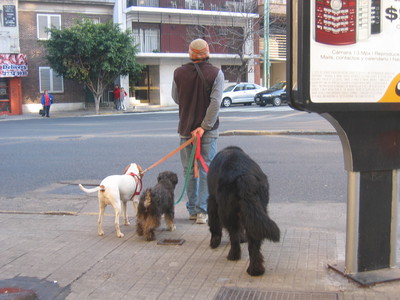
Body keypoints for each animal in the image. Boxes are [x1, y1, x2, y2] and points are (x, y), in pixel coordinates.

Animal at [208, 146, 280, 276]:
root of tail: (244, 176)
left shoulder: (212, 200)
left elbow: (214, 223)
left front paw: (214, 241)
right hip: (256, 212)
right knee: (253, 243)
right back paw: (255, 270)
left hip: (228, 213)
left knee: (234, 236)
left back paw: (233, 256)